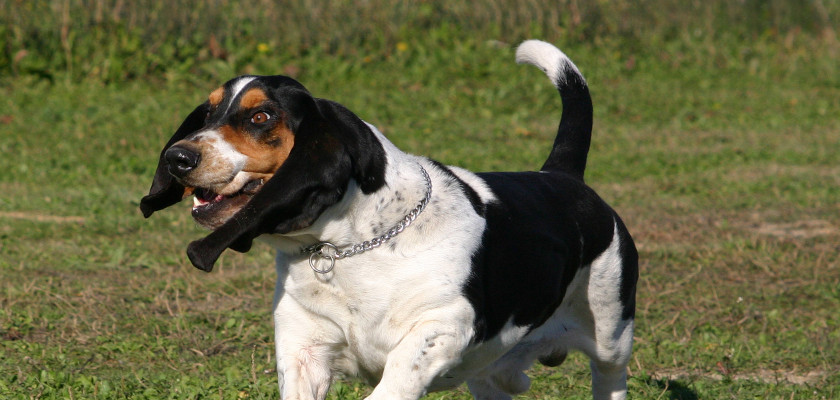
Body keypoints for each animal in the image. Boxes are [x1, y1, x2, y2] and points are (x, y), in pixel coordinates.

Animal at [139, 40, 636, 400]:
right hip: (489, 377)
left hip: (612, 339)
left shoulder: (439, 329)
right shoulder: (304, 351)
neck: (345, 249)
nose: (177, 157)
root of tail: (561, 175)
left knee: (610, 376)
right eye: (209, 113)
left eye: (261, 116)